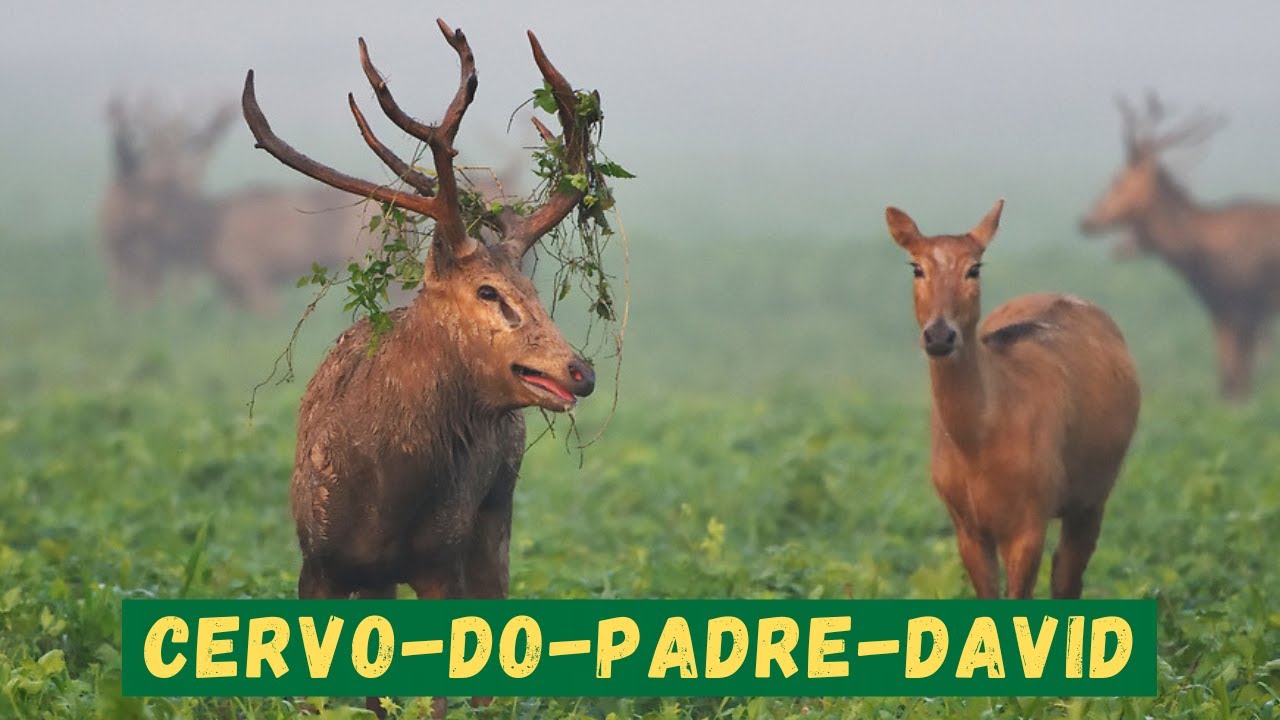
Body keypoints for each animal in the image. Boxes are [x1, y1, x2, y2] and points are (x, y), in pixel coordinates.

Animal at [241, 18, 604, 717]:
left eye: (536, 291)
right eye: (489, 292)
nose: (581, 371)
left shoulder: (442, 559)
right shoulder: (316, 562)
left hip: (496, 506)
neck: (381, 496)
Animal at [886, 200, 1140, 599]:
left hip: (1096, 490)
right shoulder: (965, 524)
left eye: (974, 268)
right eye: (917, 267)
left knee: (1067, 577)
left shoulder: (1030, 518)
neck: (980, 441)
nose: (940, 335)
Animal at [1081, 93, 1280, 401]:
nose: (1087, 220)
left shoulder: (1247, 306)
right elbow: (1228, 380)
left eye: (1119, 180)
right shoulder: (1221, 309)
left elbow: (1237, 382)